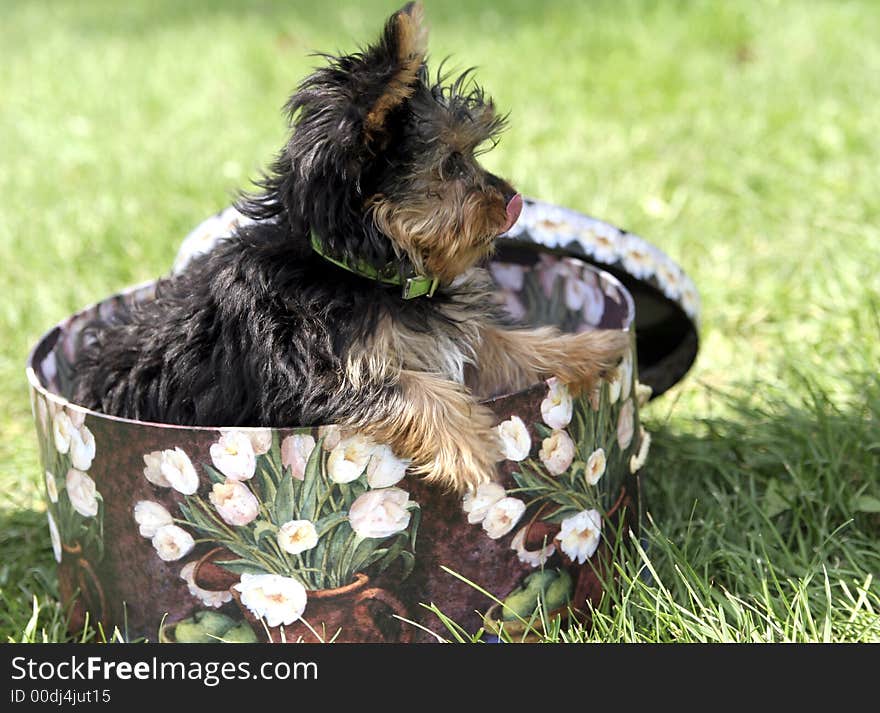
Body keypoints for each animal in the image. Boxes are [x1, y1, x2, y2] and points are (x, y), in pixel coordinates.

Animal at [72, 4, 628, 496]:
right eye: (451, 164)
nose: (513, 201)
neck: (357, 269)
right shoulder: (306, 378)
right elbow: (407, 386)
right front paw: (470, 443)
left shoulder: (439, 337)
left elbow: (498, 342)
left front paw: (587, 348)